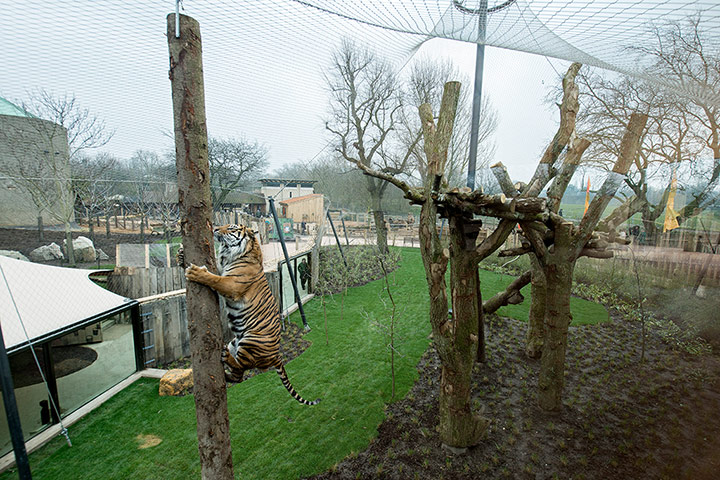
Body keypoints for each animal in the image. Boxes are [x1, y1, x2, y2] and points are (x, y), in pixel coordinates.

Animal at [183, 224, 320, 404]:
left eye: (231, 228)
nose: (215, 228)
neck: (234, 254)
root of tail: (277, 355)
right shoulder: (222, 268)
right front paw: (180, 254)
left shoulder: (232, 283)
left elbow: (214, 279)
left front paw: (195, 273)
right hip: (234, 342)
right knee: (239, 376)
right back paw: (226, 374)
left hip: (250, 340)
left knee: (242, 365)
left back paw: (226, 358)